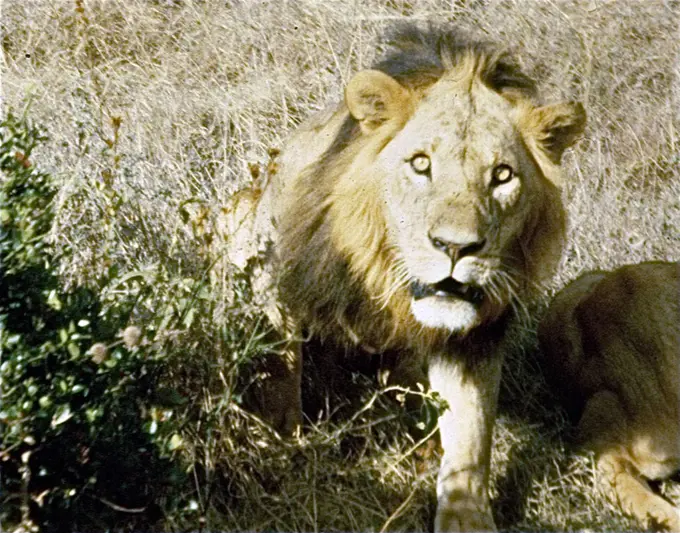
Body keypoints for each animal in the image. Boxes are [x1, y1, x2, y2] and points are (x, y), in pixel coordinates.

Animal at [227, 27, 584, 528]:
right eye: (420, 164)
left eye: (502, 175)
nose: (456, 247)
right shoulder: (276, 274)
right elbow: (280, 369)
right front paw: (281, 447)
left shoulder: (474, 335)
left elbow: (472, 429)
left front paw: (466, 519)